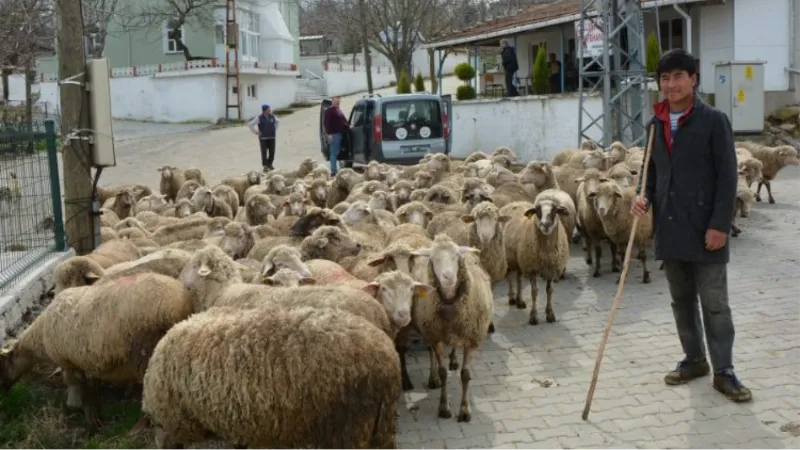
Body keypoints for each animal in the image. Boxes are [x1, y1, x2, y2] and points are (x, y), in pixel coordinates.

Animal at [0, 272, 192, 430]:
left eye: (2, 365)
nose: (3, 394)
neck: (39, 337)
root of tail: (181, 301)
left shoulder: (67, 361)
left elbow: (74, 383)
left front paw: (77, 407)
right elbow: (92, 383)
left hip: (145, 350)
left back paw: (142, 425)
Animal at [410, 232, 490, 422]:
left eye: (456, 256)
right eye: (434, 258)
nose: (448, 277)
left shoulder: (472, 339)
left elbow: (465, 375)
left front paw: (465, 410)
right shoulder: (436, 337)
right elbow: (443, 372)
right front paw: (444, 407)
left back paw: (453, 359)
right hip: (429, 332)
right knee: (431, 352)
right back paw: (433, 379)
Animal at [504, 195, 572, 326]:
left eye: (555, 210)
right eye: (537, 211)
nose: (545, 225)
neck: (546, 252)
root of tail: (515, 202)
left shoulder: (551, 269)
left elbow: (549, 291)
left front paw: (550, 314)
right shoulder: (532, 269)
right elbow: (534, 292)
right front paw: (533, 316)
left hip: (521, 259)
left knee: (519, 278)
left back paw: (520, 301)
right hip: (508, 258)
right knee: (509, 277)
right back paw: (512, 298)